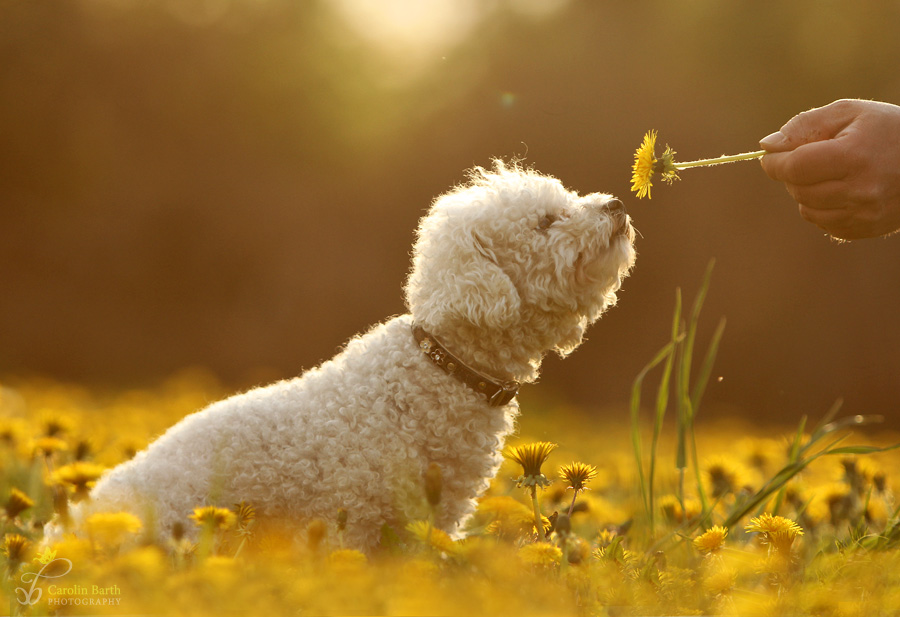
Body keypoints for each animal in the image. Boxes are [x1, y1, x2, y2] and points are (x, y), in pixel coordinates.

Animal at [45, 161, 636, 552]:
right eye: (546, 222)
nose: (617, 205)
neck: (443, 368)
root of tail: (72, 527)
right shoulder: (348, 520)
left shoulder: (429, 522)